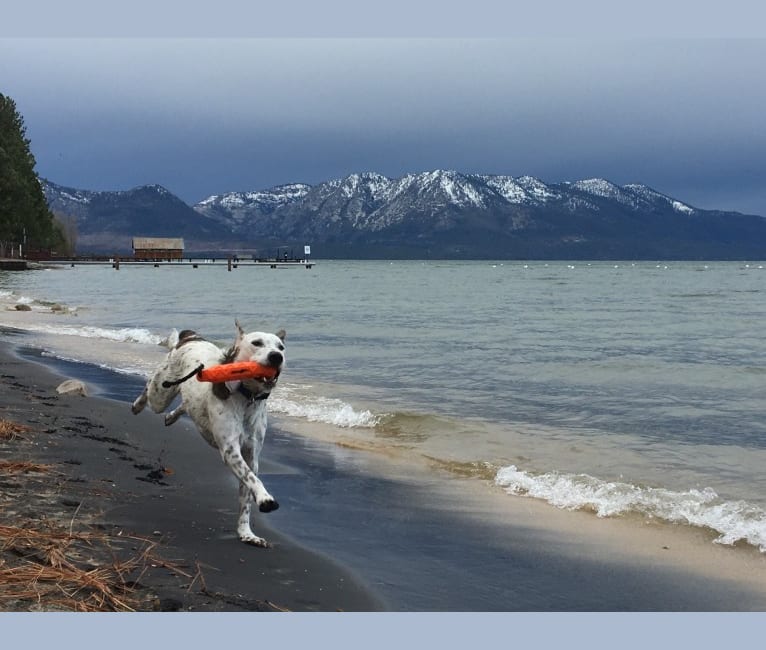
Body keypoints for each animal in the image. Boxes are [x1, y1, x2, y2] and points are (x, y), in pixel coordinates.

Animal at [132, 322, 288, 544]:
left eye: (281, 347)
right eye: (257, 343)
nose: (277, 356)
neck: (247, 397)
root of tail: (191, 337)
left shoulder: (251, 454)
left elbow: (246, 493)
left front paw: (246, 533)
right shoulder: (230, 450)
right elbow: (252, 478)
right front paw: (265, 499)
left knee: (187, 405)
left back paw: (172, 416)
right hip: (161, 393)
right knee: (150, 389)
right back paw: (137, 405)